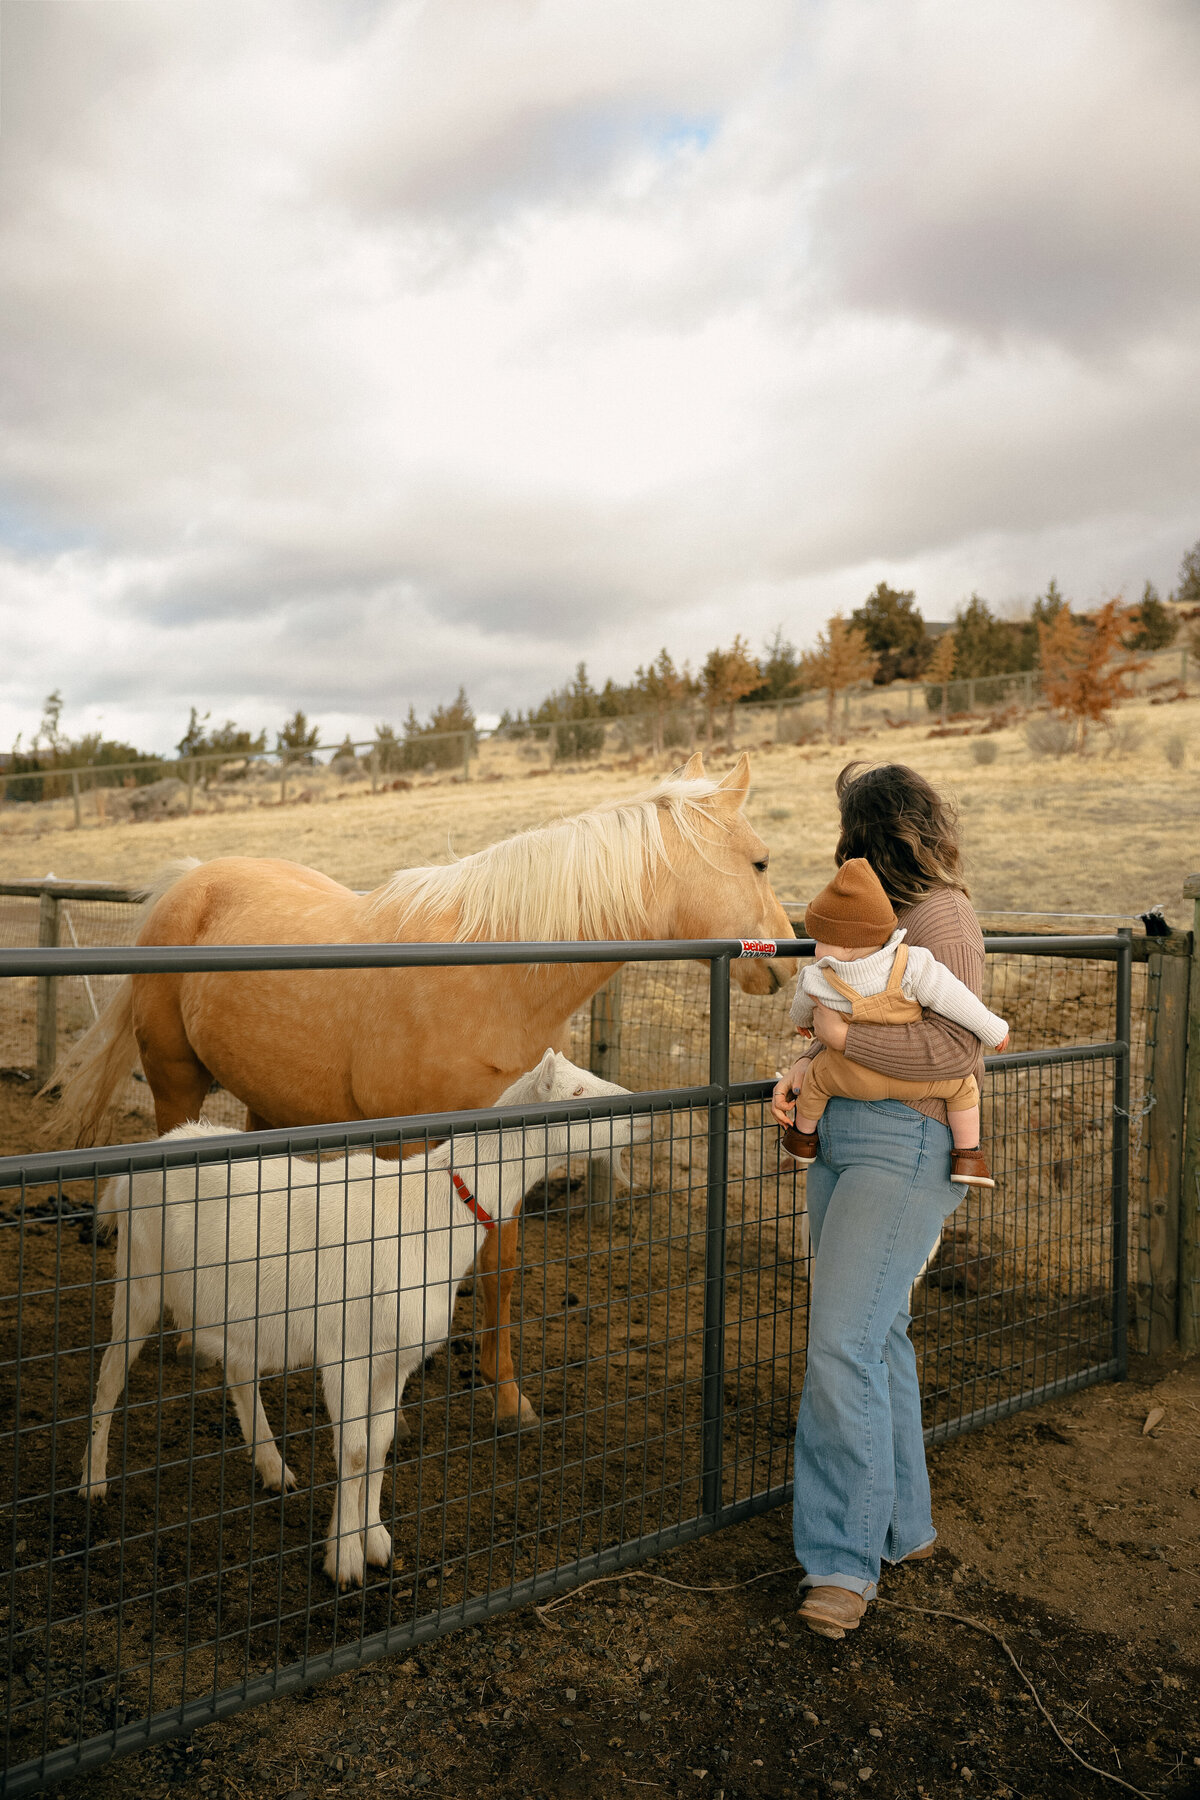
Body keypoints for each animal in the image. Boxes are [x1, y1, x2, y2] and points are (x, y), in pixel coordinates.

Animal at [52, 751, 794, 1429]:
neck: (495, 977)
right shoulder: (407, 1145)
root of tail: (189, 881)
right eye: (760, 862)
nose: (788, 957)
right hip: (176, 1083)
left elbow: (499, 1270)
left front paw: (507, 1399)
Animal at [79, 1050, 647, 1587]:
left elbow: (378, 1448)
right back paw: (92, 1481)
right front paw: (344, 1560)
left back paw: (272, 1467)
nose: (642, 1117)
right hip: (140, 1276)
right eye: (576, 1091)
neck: (431, 1212)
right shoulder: (346, 1352)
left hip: (239, 1305)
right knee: (108, 1375)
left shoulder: (396, 1360)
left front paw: (374, 1541)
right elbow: (351, 1451)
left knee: (239, 1372)